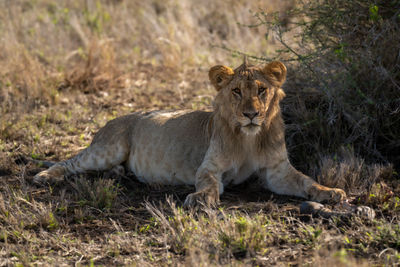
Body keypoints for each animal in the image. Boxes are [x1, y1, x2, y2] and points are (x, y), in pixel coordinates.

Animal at [35, 59, 346, 207]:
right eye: (236, 91)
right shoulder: (210, 167)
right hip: (108, 148)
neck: (249, 138)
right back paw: (46, 176)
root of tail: (115, 117)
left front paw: (331, 192)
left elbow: (306, 181)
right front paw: (201, 200)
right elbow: (208, 184)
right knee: (72, 161)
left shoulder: (277, 171)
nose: (251, 114)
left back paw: (119, 173)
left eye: (261, 90)